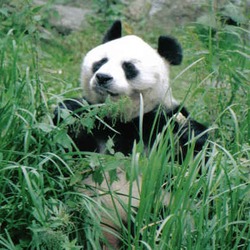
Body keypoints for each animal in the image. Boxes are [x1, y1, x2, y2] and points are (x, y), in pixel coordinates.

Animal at [53, 20, 209, 249]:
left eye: (128, 67)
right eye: (101, 62)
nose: (102, 77)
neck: (123, 121)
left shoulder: (159, 123)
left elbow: (195, 171)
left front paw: (188, 135)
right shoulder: (98, 126)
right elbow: (64, 155)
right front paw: (69, 111)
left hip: (157, 207)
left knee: (157, 224)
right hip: (81, 205)